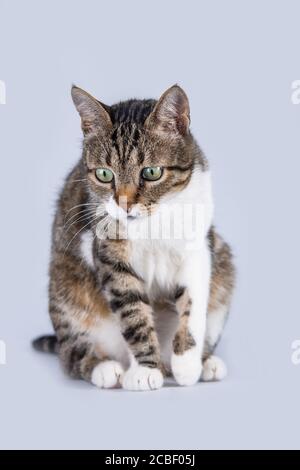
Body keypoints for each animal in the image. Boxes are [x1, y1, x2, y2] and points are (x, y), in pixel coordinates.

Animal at [32, 85, 234, 392]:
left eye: (151, 172)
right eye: (105, 174)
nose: (124, 204)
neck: (155, 223)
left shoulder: (199, 249)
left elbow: (193, 304)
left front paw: (187, 364)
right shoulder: (109, 256)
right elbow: (133, 314)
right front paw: (145, 370)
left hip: (224, 264)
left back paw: (204, 362)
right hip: (67, 290)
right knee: (71, 356)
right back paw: (105, 367)